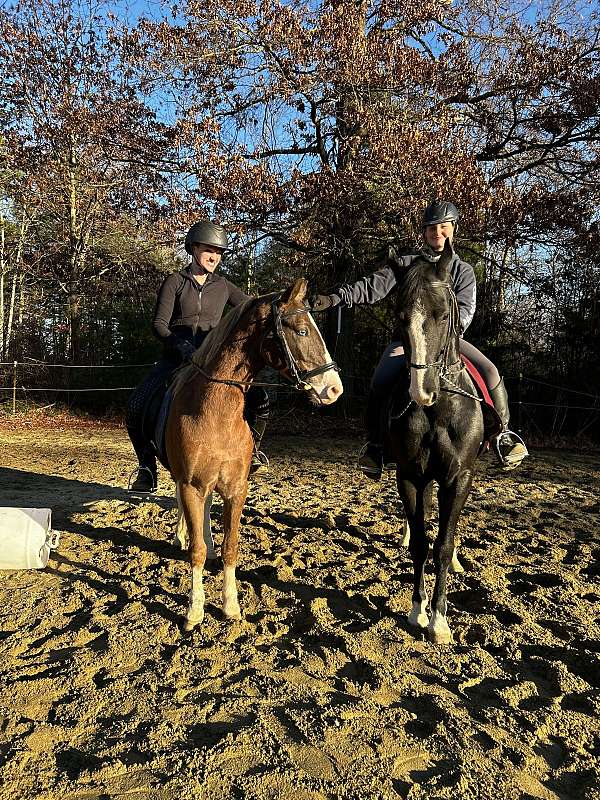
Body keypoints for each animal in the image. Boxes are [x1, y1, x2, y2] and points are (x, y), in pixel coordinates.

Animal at [165, 282, 342, 632]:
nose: (334, 389)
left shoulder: (236, 489)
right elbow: (197, 551)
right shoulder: (191, 485)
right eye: (301, 330)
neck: (215, 413)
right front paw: (194, 610)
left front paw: (230, 605)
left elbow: (230, 547)